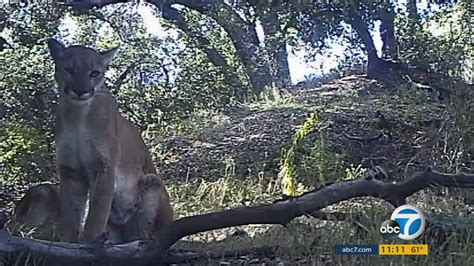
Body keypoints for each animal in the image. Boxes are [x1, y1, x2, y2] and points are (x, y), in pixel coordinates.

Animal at [47, 38, 174, 244]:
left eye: (94, 73)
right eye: (70, 69)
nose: (81, 91)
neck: (77, 116)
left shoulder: (104, 166)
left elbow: (97, 212)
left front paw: (87, 241)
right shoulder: (71, 170)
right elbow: (70, 213)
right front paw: (68, 243)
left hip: (152, 182)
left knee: (142, 233)